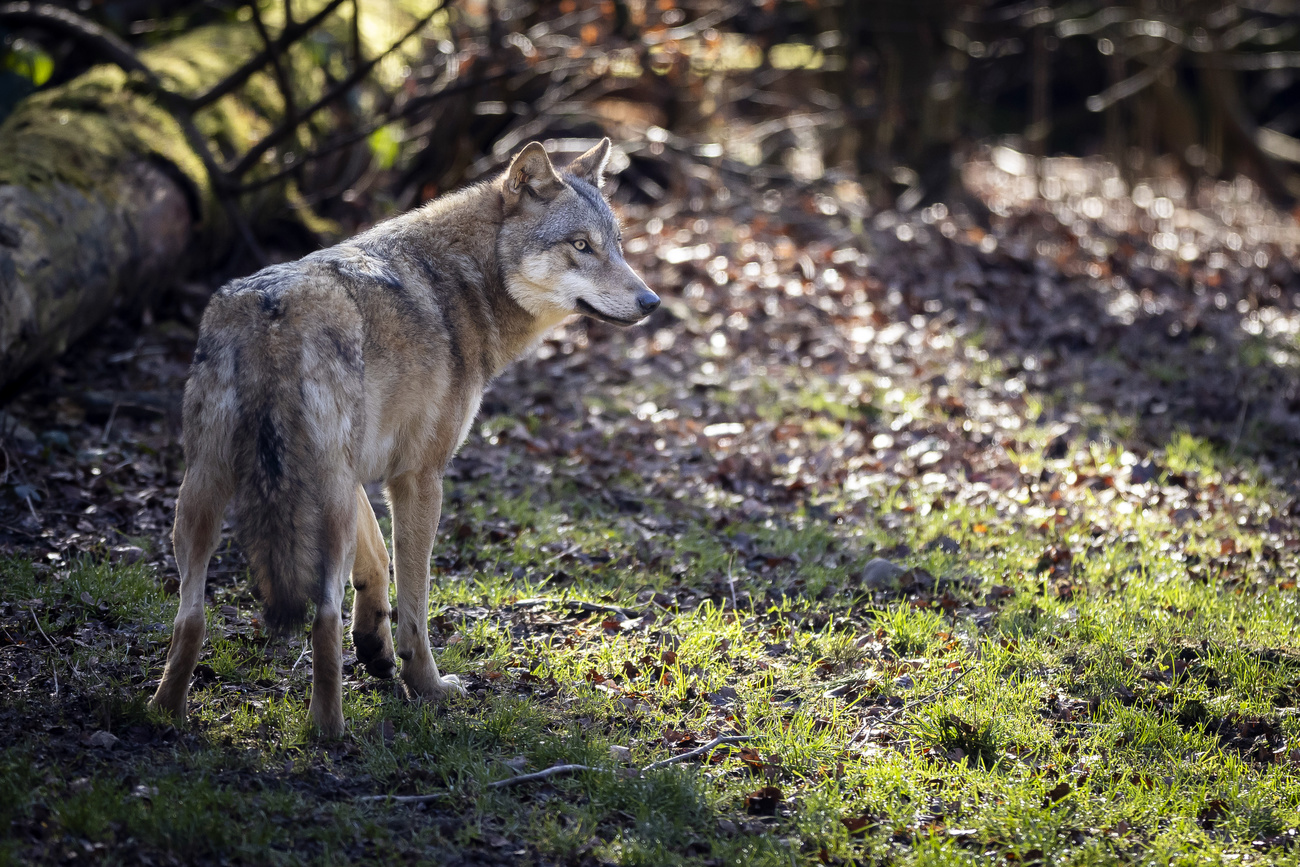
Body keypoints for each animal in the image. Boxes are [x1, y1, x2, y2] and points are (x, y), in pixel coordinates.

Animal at [149, 139, 660, 738]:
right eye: (581, 246)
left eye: (617, 246)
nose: (651, 302)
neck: (464, 283)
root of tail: (272, 313)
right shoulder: (420, 477)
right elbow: (416, 601)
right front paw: (429, 686)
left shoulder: (360, 472)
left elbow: (378, 560)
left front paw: (375, 646)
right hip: (308, 501)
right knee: (321, 616)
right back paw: (330, 733)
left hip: (208, 492)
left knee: (190, 617)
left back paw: (165, 712)